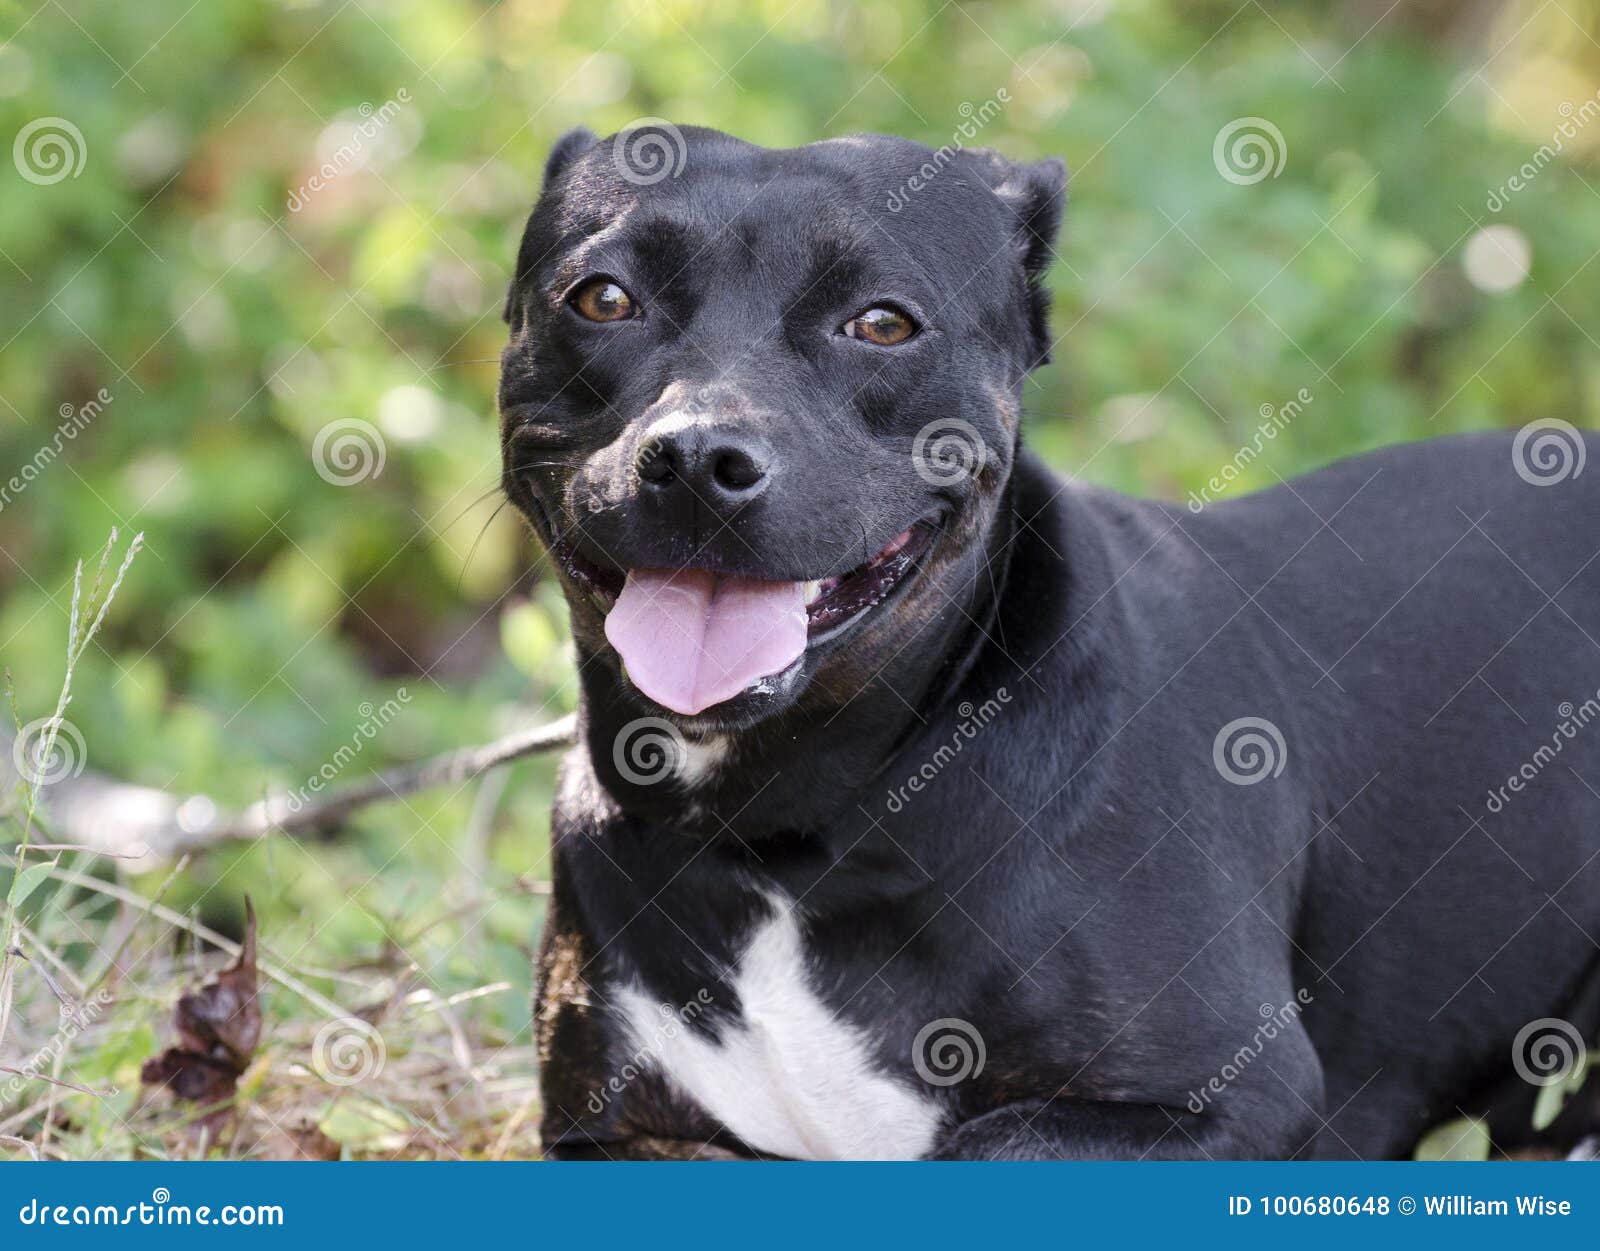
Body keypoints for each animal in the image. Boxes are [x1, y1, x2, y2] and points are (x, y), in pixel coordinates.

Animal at [499, 122, 1600, 1158]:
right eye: (603, 299)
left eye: (883, 323)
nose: (696, 457)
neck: (784, 836)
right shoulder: (611, 1127)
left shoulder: (1231, 1098)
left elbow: (984, 1143)